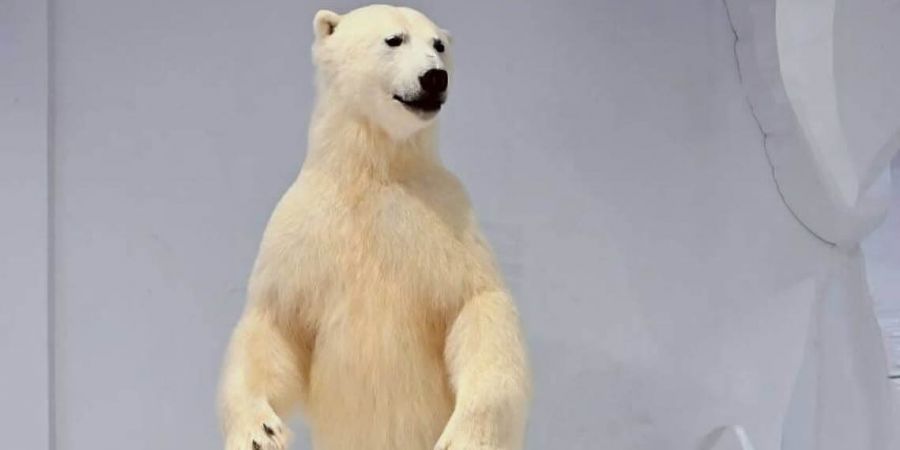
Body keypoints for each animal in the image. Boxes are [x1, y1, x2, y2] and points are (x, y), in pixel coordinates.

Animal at [218, 5, 531, 450]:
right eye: (394, 39)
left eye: (439, 44)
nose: (435, 77)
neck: (373, 170)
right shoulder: (299, 231)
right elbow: (273, 324)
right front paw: (260, 431)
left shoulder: (447, 217)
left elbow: (476, 305)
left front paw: (465, 436)